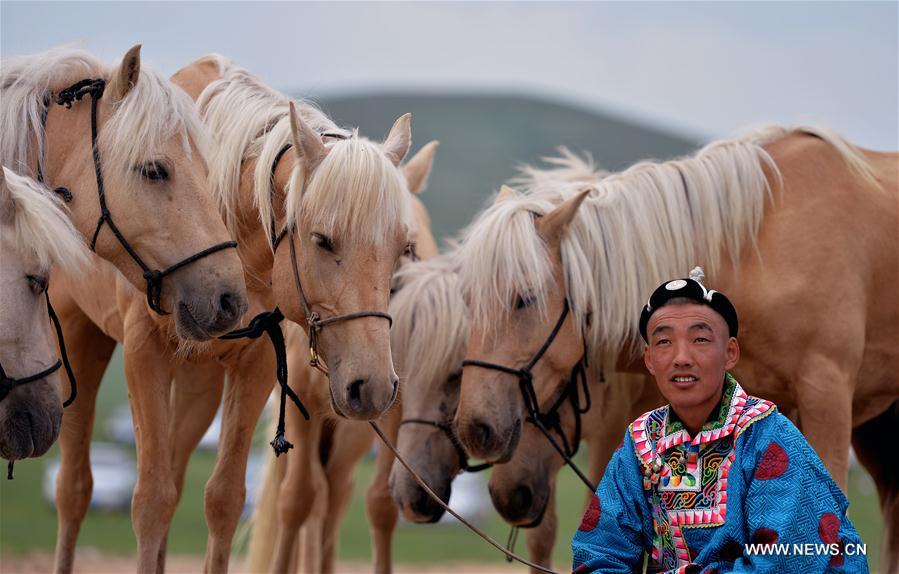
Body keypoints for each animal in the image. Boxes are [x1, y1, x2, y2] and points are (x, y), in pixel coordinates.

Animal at [52, 55, 422, 574]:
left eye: (402, 249)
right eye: (322, 240)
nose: (371, 387)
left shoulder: (256, 363)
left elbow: (223, 500)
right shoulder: (144, 352)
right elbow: (150, 500)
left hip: (199, 382)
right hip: (81, 336)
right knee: (75, 489)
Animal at [244, 141, 442, 574]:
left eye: (408, 248)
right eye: (323, 240)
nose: (371, 378)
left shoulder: (389, 408)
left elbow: (380, 504)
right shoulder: (301, 402)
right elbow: (296, 499)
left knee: (335, 493)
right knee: (315, 495)